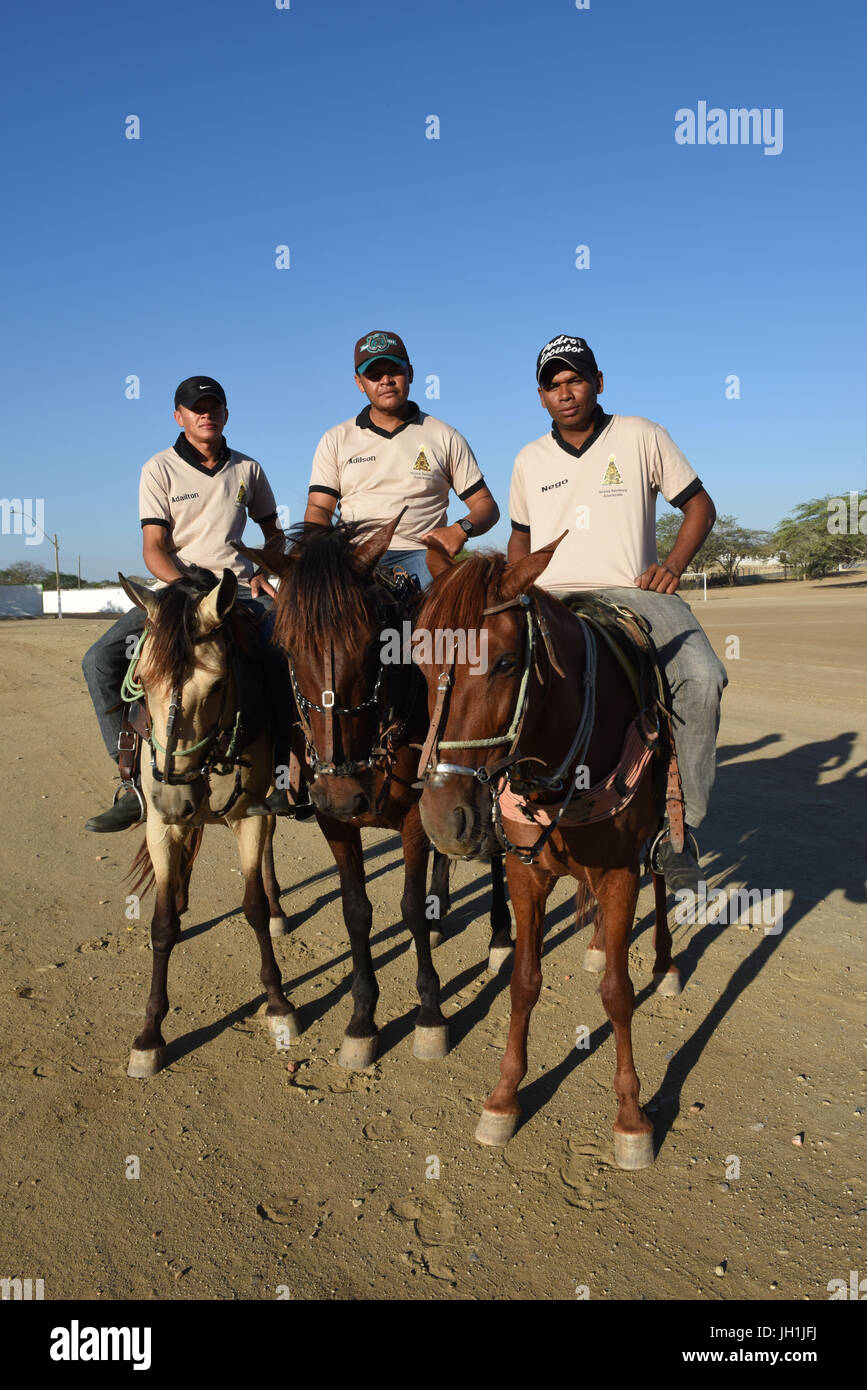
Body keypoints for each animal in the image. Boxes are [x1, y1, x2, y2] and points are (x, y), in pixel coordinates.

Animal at [234, 517, 514, 1067]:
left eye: (374, 645)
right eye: (287, 647)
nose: (345, 793)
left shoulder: (411, 818)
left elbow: (408, 907)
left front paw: (430, 1015)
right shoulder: (336, 822)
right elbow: (356, 911)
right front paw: (362, 1019)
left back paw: (497, 937)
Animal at [416, 536, 680, 1167]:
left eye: (506, 662)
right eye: (416, 656)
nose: (444, 819)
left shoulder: (620, 871)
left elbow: (618, 994)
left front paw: (631, 1117)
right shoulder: (525, 872)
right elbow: (524, 981)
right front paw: (504, 1098)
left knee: (661, 884)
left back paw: (664, 961)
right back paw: (596, 945)